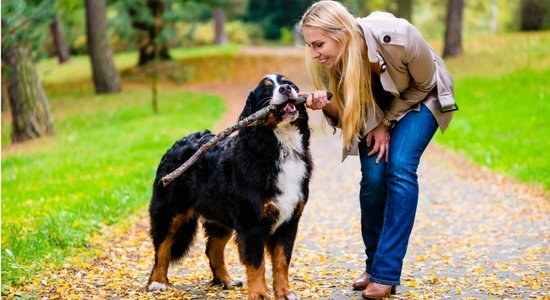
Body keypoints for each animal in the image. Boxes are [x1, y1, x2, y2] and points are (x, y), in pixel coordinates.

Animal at [149, 73, 312, 300]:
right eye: (267, 89)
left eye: (288, 83)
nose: (286, 89)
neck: (280, 148)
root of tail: (176, 144)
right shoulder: (252, 223)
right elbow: (256, 263)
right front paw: (259, 294)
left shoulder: (289, 221)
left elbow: (282, 261)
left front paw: (285, 292)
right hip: (171, 211)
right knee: (162, 248)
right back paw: (157, 282)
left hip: (221, 216)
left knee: (212, 250)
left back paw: (227, 280)